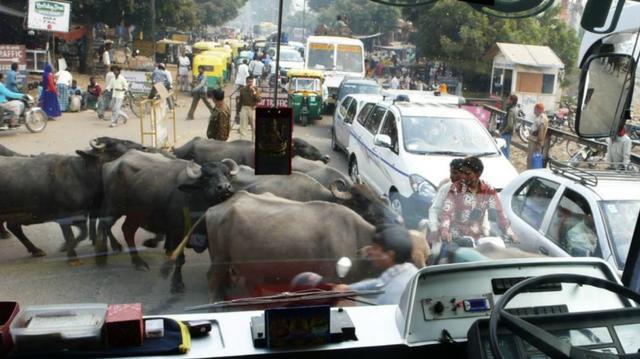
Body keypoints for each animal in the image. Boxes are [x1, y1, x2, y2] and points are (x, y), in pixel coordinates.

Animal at [99, 150, 239, 294]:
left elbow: (219, 259)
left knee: (127, 230)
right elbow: (180, 259)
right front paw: (177, 283)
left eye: (227, 174)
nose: (225, 187)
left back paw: (137, 261)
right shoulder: (177, 233)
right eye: (206, 177)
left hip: (135, 215)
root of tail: (112, 164)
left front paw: (224, 284)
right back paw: (105, 256)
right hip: (114, 208)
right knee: (104, 225)